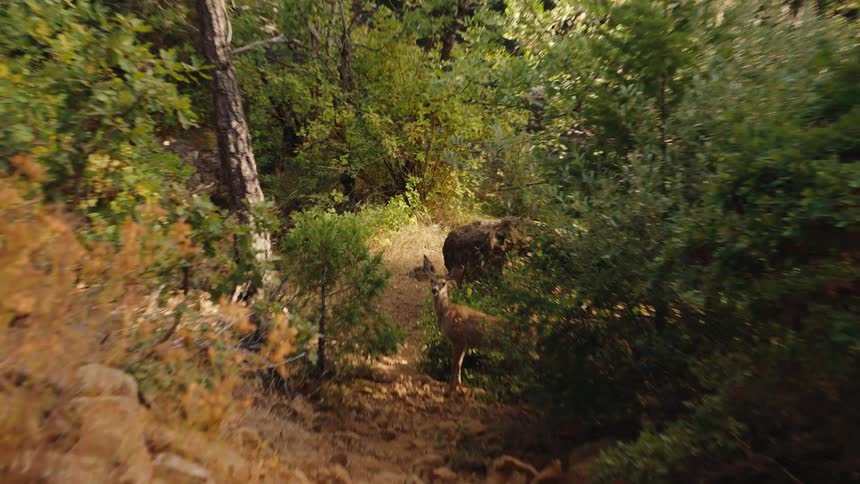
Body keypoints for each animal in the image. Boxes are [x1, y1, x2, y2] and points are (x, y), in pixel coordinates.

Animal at [422, 255, 503, 395]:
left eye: (443, 283)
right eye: (431, 280)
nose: (434, 290)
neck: (447, 312)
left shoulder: (458, 338)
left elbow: (454, 364)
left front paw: (449, 390)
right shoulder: (465, 343)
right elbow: (460, 364)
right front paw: (458, 386)